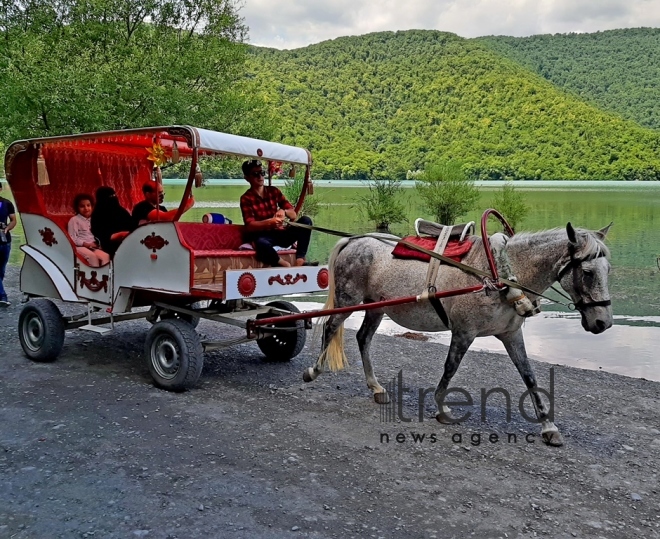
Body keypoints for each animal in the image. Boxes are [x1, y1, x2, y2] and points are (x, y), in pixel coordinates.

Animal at [304, 224, 612, 448]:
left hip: (375, 307)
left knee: (363, 338)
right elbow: (450, 368)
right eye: (587, 272)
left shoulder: (511, 335)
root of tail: (354, 240)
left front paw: (548, 426)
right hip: (349, 301)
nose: (603, 322)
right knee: (331, 327)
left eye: (608, 270)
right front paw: (441, 408)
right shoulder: (464, 332)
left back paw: (376, 387)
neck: (500, 272)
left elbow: (530, 377)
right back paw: (314, 370)